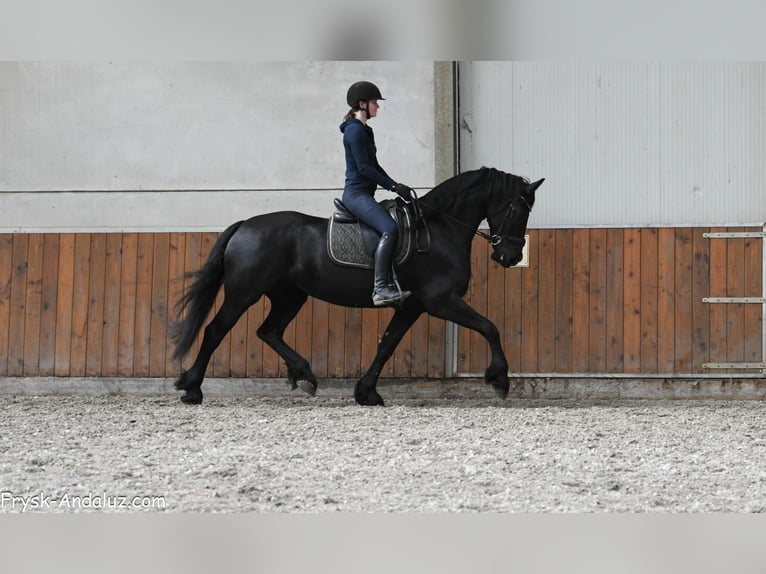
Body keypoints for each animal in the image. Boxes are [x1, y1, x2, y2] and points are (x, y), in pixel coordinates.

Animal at [170, 167, 544, 406]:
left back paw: (305, 375)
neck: (440, 230)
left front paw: (367, 393)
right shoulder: (441, 301)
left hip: (289, 296)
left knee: (269, 331)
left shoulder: (413, 306)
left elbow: (387, 344)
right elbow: (490, 327)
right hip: (243, 293)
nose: (510, 256)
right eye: (518, 209)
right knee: (215, 331)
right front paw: (500, 379)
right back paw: (192, 389)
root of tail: (246, 224)